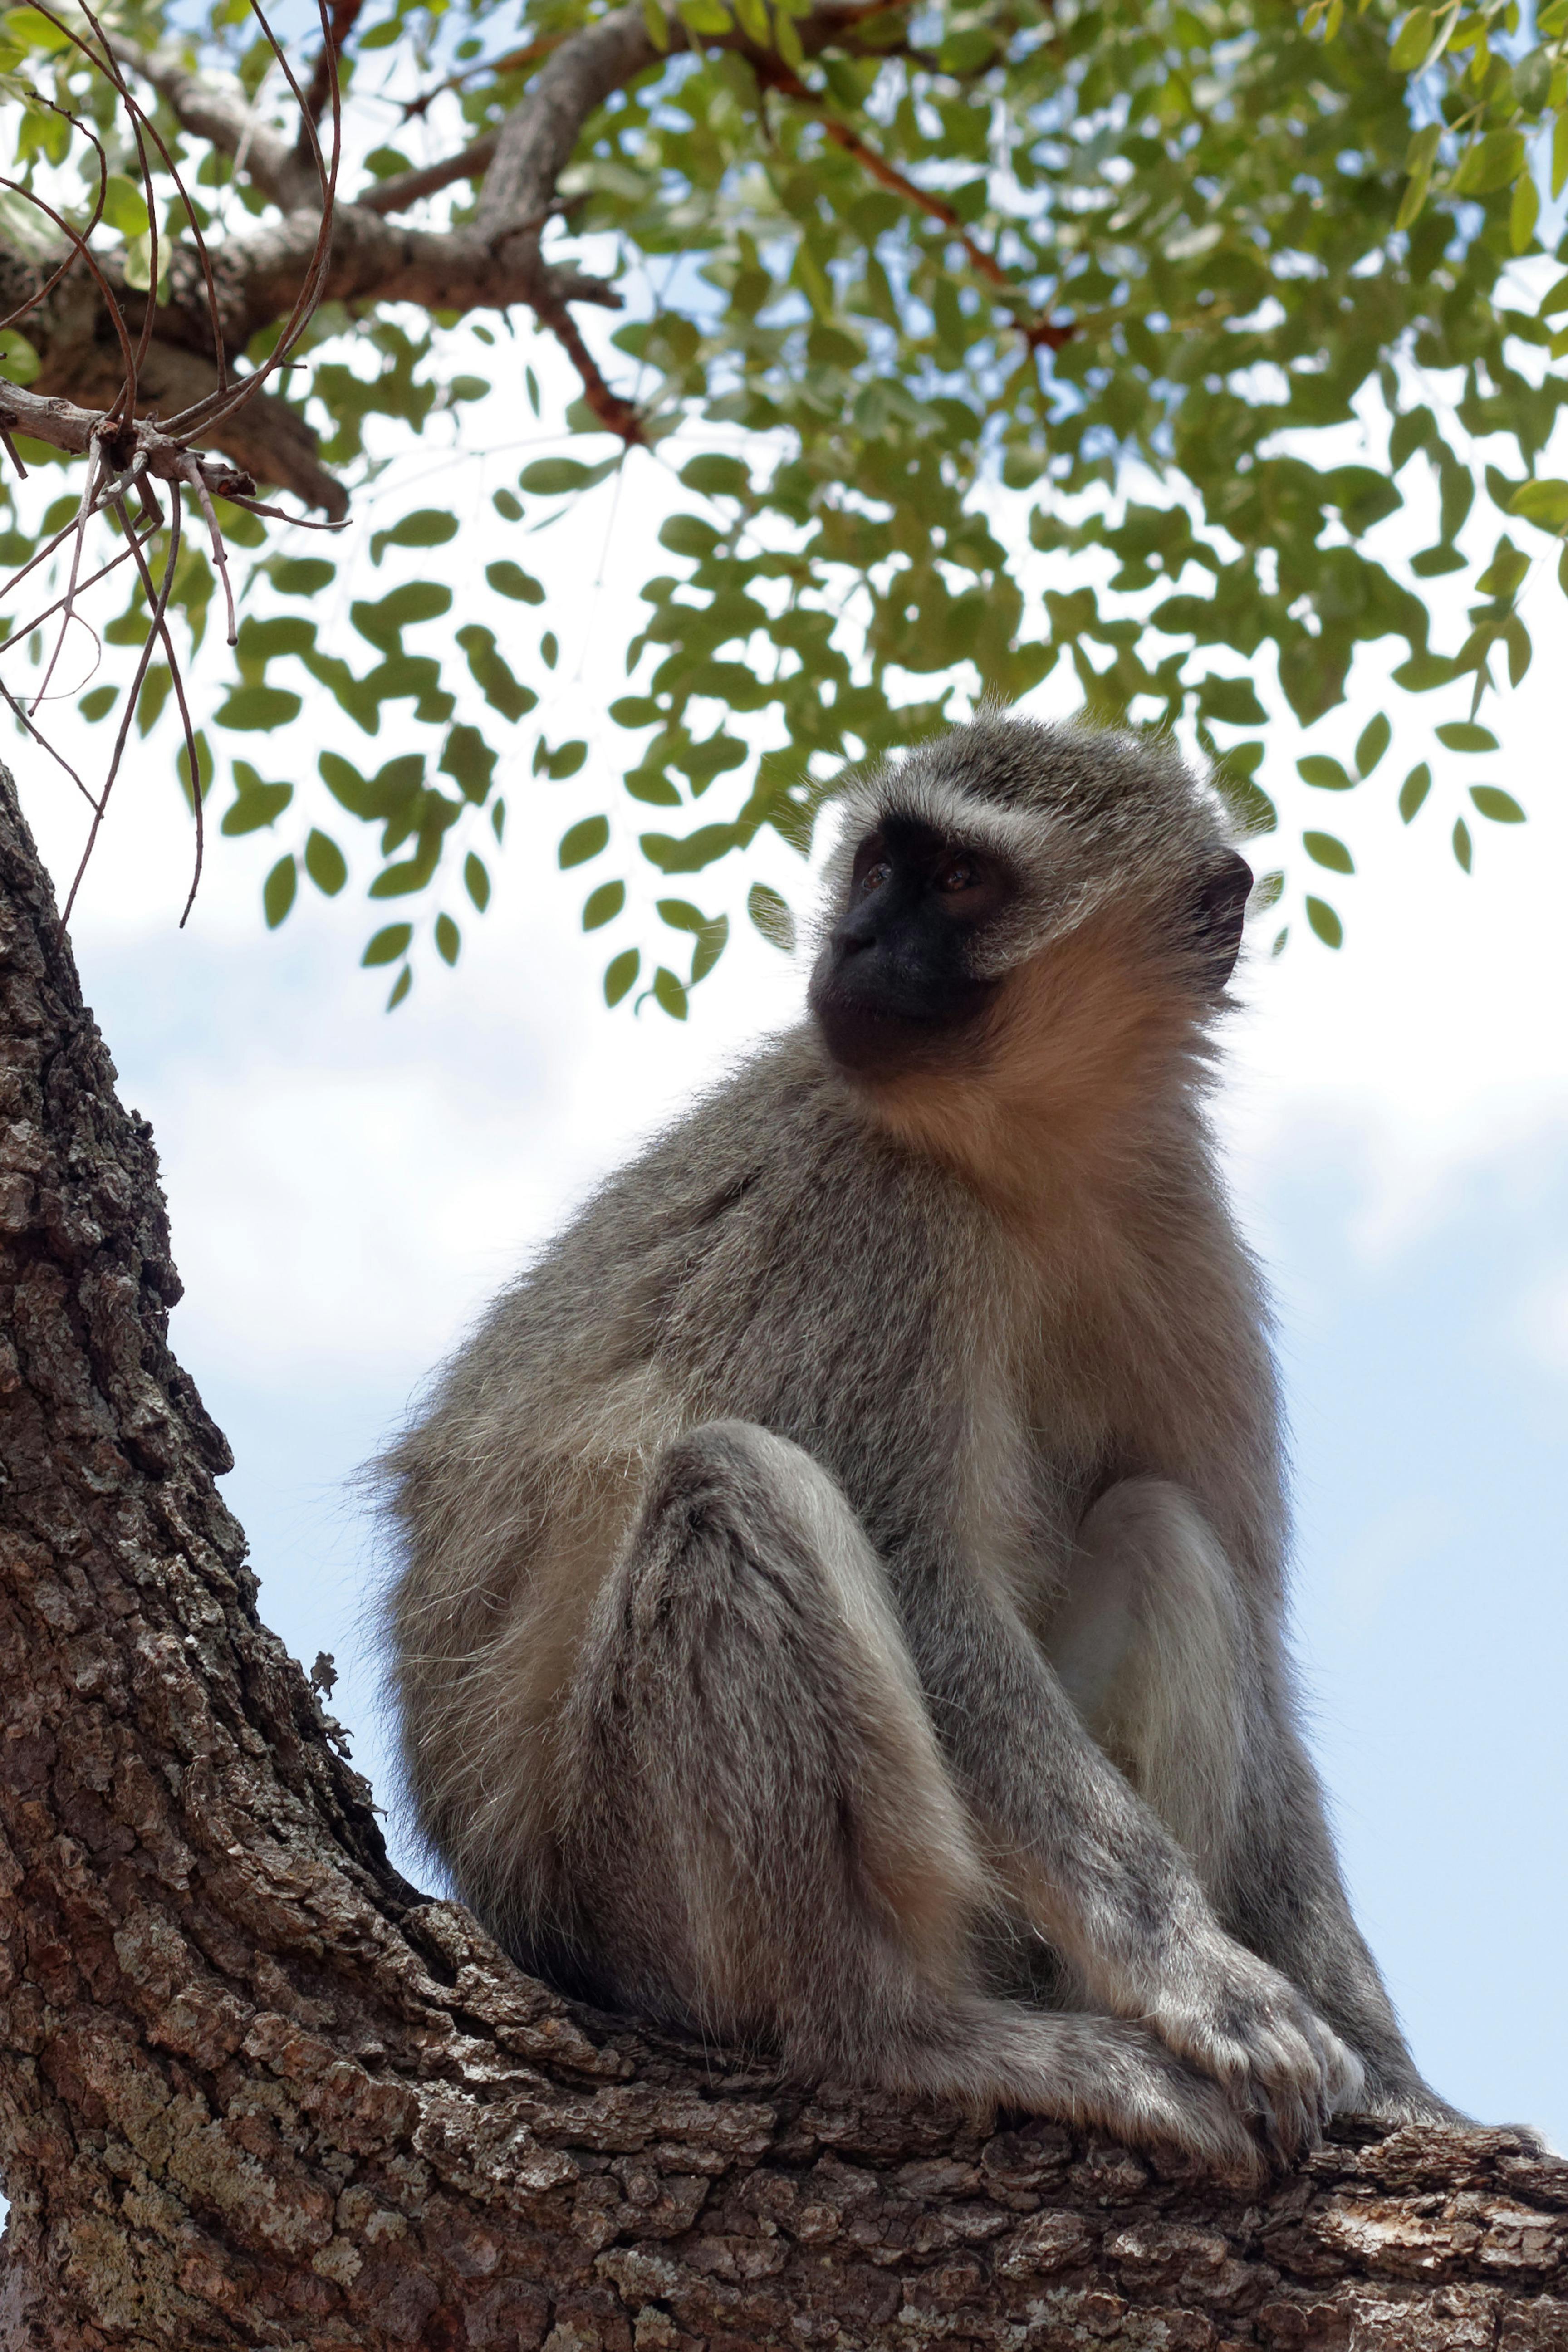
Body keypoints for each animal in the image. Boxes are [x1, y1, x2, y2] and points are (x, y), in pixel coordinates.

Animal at [383, 710, 1457, 2164]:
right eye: (877, 868)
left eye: (955, 883)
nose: (848, 944)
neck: (1029, 1163)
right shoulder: (872, 1216)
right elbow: (921, 1583)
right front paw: (1203, 1976)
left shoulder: (1183, 1236)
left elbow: (1258, 1642)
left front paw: (1402, 2083)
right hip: (631, 1901)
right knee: (733, 1487)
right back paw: (907, 2034)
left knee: (1161, 1531)